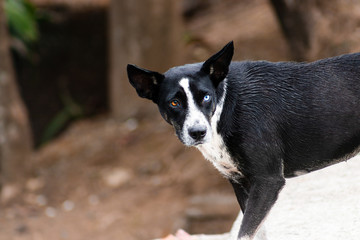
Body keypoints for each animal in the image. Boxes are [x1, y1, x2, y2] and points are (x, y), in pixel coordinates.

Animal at [126, 42, 360, 239]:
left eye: (206, 97)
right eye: (174, 103)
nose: (198, 132)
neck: (225, 109)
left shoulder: (268, 181)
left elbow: (244, 233)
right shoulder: (241, 183)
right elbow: (258, 232)